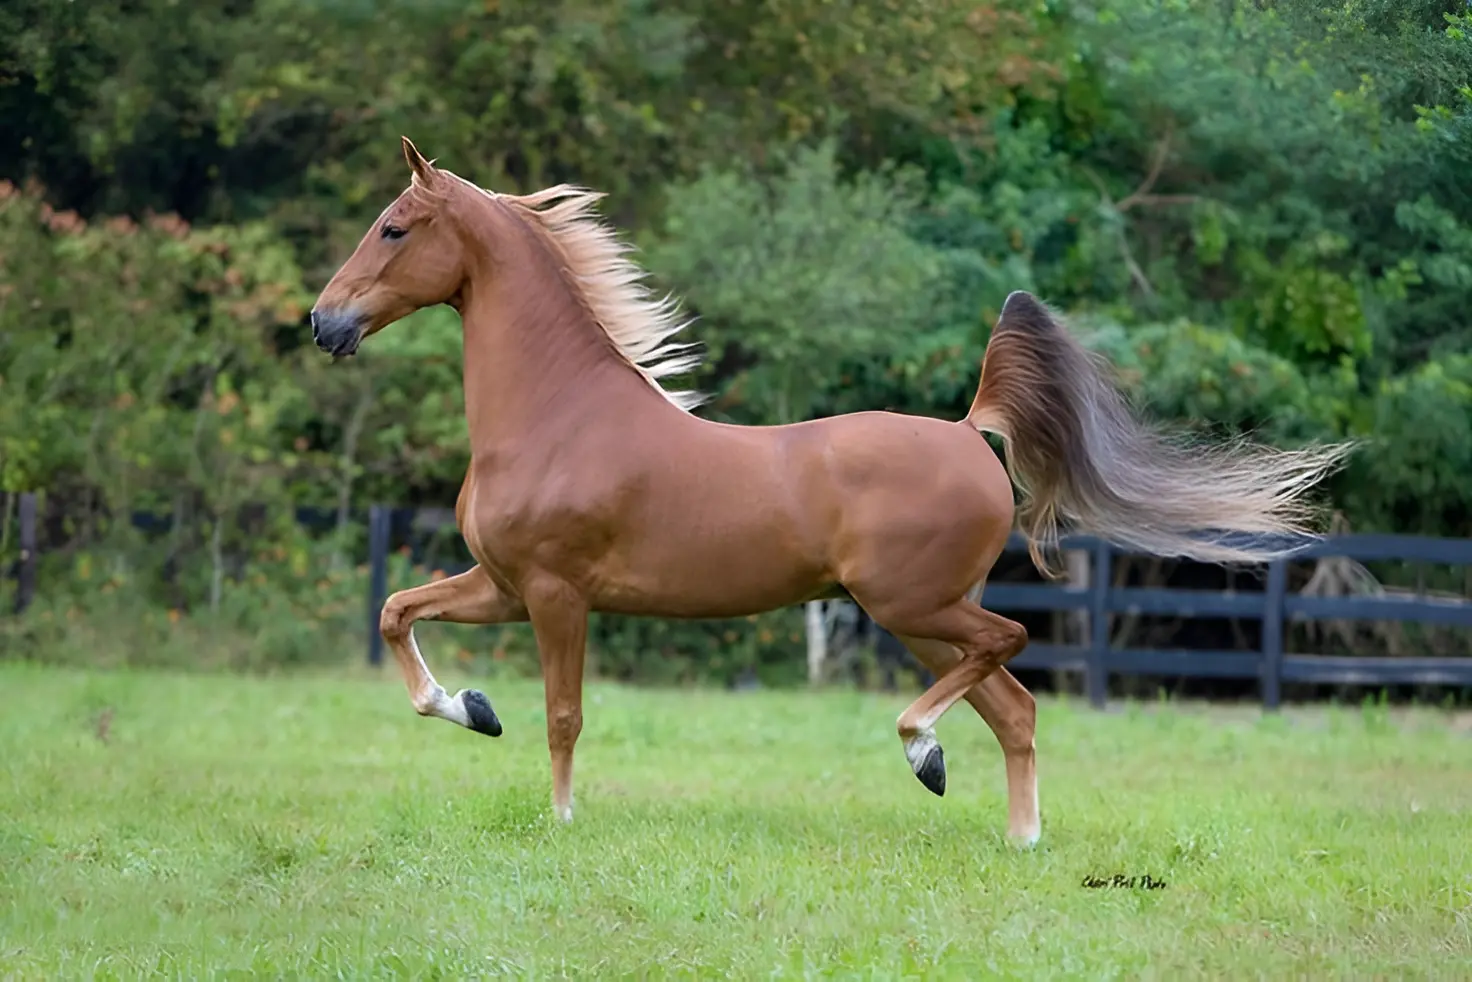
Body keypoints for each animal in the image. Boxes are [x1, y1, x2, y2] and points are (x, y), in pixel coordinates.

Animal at [310, 136, 1348, 848]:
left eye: (394, 228)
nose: (324, 323)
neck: (557, 415)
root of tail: (971, 428)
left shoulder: (557, 594)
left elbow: (564, 715)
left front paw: (560, 820)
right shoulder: (502, 585)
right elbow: (398, 614)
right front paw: (472, 707)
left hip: (911, 604)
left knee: (1007, 650)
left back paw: (922, 749)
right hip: (924, 616)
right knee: (1015, 707)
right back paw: (1016, 834)